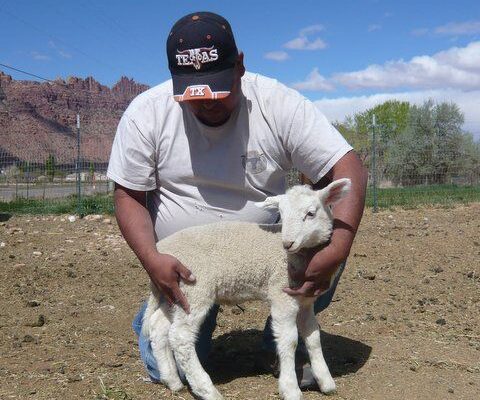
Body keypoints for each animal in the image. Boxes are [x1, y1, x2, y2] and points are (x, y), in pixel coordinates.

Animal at [141, 178, 351, 400]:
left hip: (175, 293)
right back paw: (206, 389)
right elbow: (289, 340)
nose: (287, 243)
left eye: (310, 213)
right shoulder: (281, 294)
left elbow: (313, 337)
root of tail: (161, 250)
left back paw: (172, 380)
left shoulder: (305, 300)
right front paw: (290, 389)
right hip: (194, 288)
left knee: (158, 326)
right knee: (180, 336)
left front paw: (326, 382)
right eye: (282, 213)